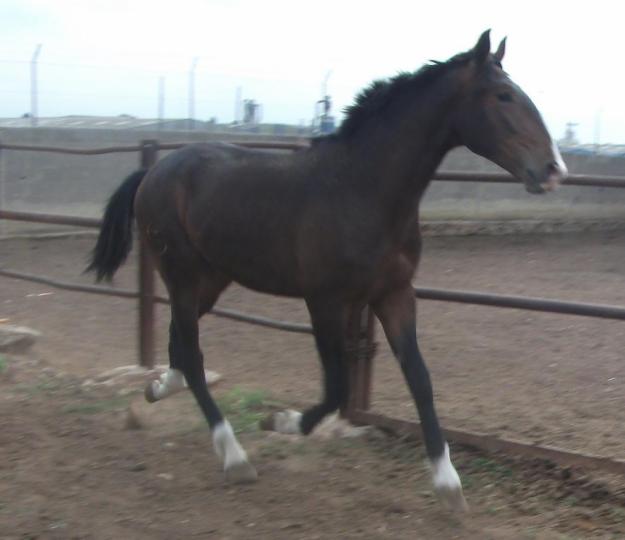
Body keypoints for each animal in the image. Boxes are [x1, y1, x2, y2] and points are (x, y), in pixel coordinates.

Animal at [86, 31, 564, 512]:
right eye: (503, 95)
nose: (553, 168)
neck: (361, 188)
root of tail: (153, 170)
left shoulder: (394, 293)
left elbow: (419, 379)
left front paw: (449, 485)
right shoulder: (326, 302)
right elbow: (336, 388)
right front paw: (278, 421)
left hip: (211, 279)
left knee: (179, 344)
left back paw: (158, 390)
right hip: (183, 274)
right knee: (194, 357)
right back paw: (234, 456)